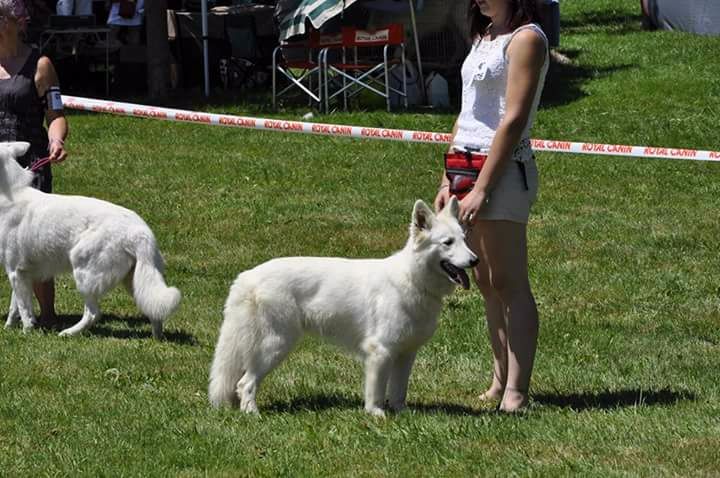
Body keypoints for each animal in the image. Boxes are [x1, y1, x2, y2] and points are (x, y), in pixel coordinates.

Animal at [0, 142, 180, 340]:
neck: (8, 193)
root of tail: (141, 233)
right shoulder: (21, 274)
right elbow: (15, 306)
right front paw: (9, 328)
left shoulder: (15, 271)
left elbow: (24, 308)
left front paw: (27, 332)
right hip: (136, 280)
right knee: (154, 311)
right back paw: (158, 338)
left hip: (84, 273)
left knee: (93, 313)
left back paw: (68, 333)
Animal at [208, 197, 478, 414]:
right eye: (447, 242)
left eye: (464, 240)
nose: (475, 260)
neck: (412, 278)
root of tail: (247, 276)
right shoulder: (380, 352)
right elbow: (376, 391)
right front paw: (376, 415)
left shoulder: (405, 353)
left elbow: (399, 390)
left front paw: (401, 413)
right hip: (275, 344)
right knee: (246, 383)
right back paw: (252, 414)